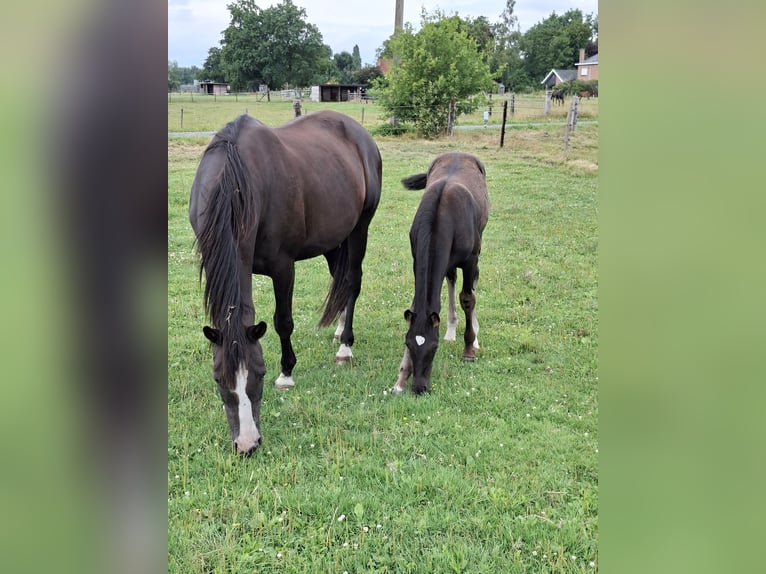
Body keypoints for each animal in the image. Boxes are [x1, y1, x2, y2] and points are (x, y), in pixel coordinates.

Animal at [189, 110, 382, 454]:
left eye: (261, 373)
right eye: (217, 378)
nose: (247, 444)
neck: (233, 181)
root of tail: (361, 135)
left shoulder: (283, 267)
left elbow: (283, 322)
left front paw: (287, 373)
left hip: (360, 229)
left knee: (352, 281)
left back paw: (345, 345)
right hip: (333, 238)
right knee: (340, 280)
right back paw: (338, 328)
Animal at [391, 152, 490, 395]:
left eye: (433, 347)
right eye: (407, 343)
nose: (419, 387)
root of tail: (459, 152)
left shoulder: (470, 260)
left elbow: (468, 299)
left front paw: (469, 349)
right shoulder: (417, 259)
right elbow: (416, 305)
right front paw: (400, 380)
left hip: (478, 247)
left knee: (473, 284)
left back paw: (474, 336)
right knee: (451, 278)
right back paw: (451, 330)